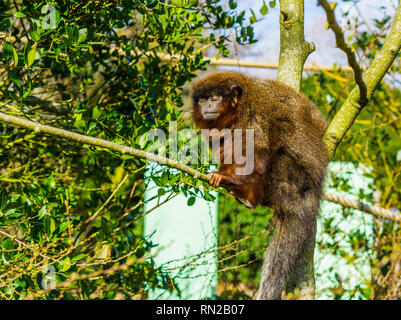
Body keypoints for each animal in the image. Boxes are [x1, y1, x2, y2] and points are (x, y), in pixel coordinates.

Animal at [191, 70, 328, 300]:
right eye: (202, 99)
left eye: (214, 98)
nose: (207, 106)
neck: (237, 108)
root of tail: (314, 190)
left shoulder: (252, 113)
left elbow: (256, 152)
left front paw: (225, 177)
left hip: (295, 180)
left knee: (277, 156)